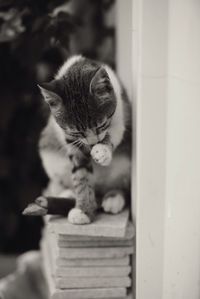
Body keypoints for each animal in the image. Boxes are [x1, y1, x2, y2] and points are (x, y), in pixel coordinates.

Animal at [38, 55, 131, 225]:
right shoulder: (70, 140)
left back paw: (114, 197)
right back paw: (67, 193)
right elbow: (81, 174)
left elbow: (113, 134)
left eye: (101, 125)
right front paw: (83, 210)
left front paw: (103, 152)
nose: (93, 142)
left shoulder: (120, 113)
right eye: (76, 132)